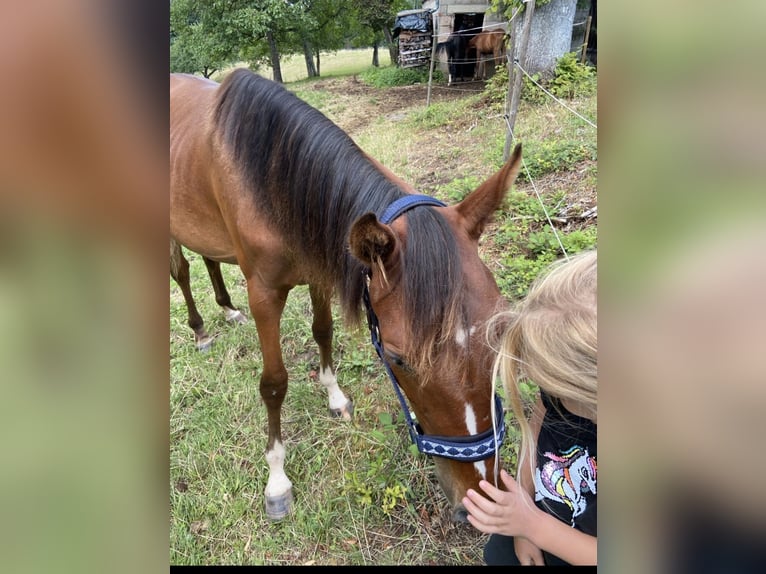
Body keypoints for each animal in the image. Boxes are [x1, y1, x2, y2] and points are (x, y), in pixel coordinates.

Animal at [171, 70, 524, 524]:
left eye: (499, 335)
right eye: (397, 359)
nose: (477, 498)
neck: (272, 177)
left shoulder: (318, 271)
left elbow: (323, 332)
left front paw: (335, 397)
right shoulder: (264, 294)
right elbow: (274, 384)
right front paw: (277, 480)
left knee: (208, 258)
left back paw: (228, 310)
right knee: (181, 270)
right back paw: (200, 331)